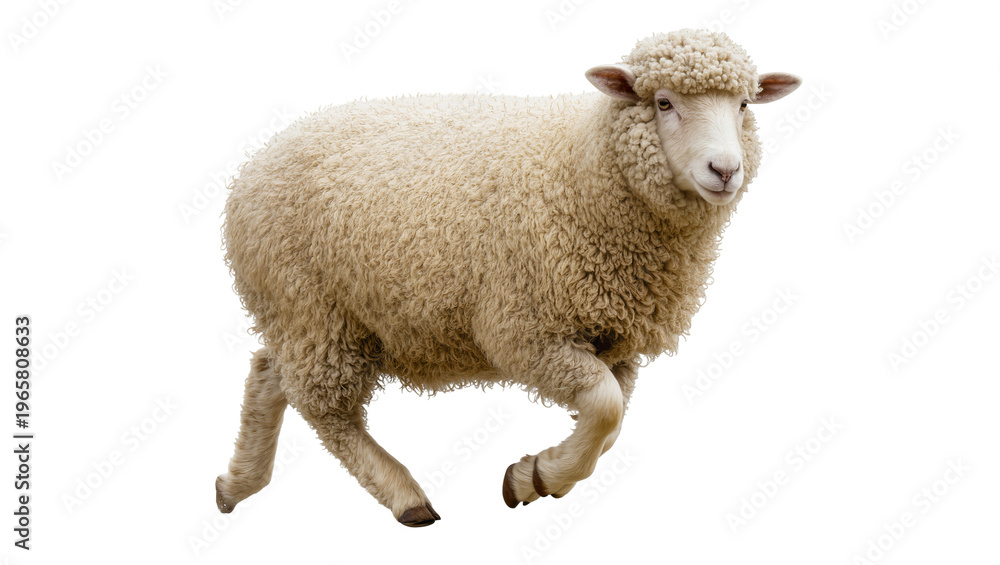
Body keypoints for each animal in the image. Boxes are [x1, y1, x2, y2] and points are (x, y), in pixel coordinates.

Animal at [216, 28, 801, 527]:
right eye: (662, 102)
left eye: (743, 105)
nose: (724, 171)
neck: (584, 171)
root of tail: (253, 165)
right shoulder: (525, 330)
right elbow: (606, 407)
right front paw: (537, 476)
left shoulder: (617, 339)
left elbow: (609, 424)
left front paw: (534, 476)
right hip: (313, 308)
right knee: (323, 407)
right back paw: (404, 496)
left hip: (309, 316)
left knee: (269, 373)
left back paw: (237, 483)